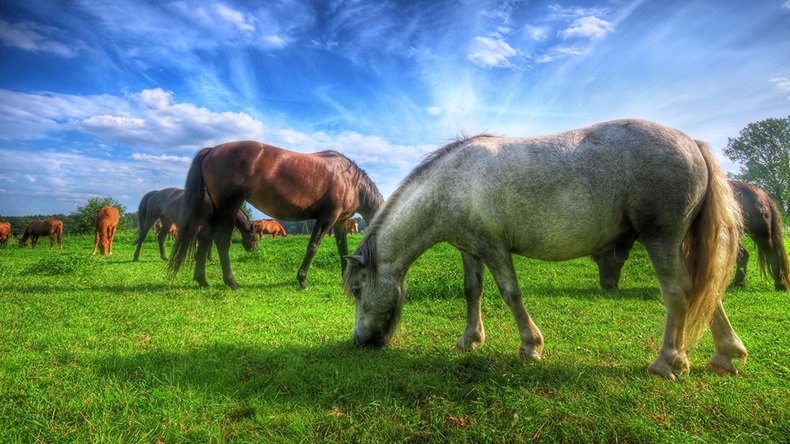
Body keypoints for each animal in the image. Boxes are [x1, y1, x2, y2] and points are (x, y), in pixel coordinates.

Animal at [168, 140, 383, 289]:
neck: (351, 181)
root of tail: (212, 150)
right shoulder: (327, 218)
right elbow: (312, 247)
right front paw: (302, 281)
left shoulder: (339, 222)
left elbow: (343, 250)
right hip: (228, 208)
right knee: (221, 241)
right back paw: (232, 282)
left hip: (216, 210)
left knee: (205, 238)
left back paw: (202, 280)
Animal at [343, 119, 746, 380]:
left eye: (359, 290)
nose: (360, 343)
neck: (452, 183)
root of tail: (693, 143)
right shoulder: (470, 249)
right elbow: (473, 292)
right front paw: (469, 340)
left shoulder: (493, 247)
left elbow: (511, 294)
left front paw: (530, 346)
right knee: (704, 292)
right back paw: (726, 353)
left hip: (661, 238)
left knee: (678, 293)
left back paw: (667, 362)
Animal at [592, 180, 789, 291]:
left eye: (604, 259)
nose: (606, 287)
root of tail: (763, 195)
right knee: (745, 256)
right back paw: (738, 284)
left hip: (760, 234)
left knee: (771, 254)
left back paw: (779, 284)